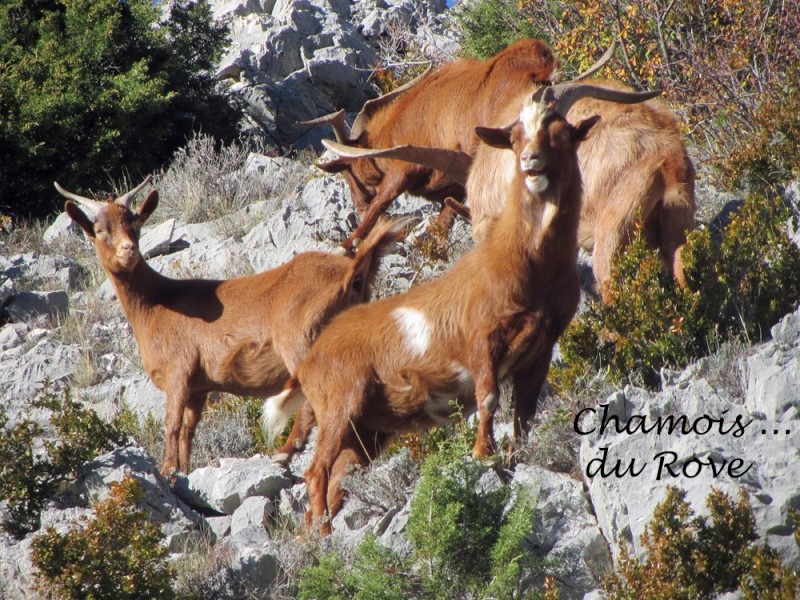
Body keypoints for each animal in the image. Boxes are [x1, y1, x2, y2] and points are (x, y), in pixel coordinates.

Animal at [57, 178, 406, 478]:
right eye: (99, 229)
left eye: (135, 224)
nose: (128, 250)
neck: (157, 303)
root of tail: (352, 271)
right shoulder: (199, 387)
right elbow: (188, 429)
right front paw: (184, 470)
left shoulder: (179, 370)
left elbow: (171, 423)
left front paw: (168, 470)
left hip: (301, 339)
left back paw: (285, 452)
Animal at [266, 81, 660, 536]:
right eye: (515, 137)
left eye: (561, 133)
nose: (530, 162)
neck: (522, 264)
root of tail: (311, 359)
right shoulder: (482, 339)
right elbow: (488, 398)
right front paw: (482, 455)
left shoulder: (542, 348)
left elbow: (524, 414)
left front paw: (513, 459)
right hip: (340, 404)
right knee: (317, 470)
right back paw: (323, 531)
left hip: (368, 430)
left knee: (338, 477)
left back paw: (315, 533)